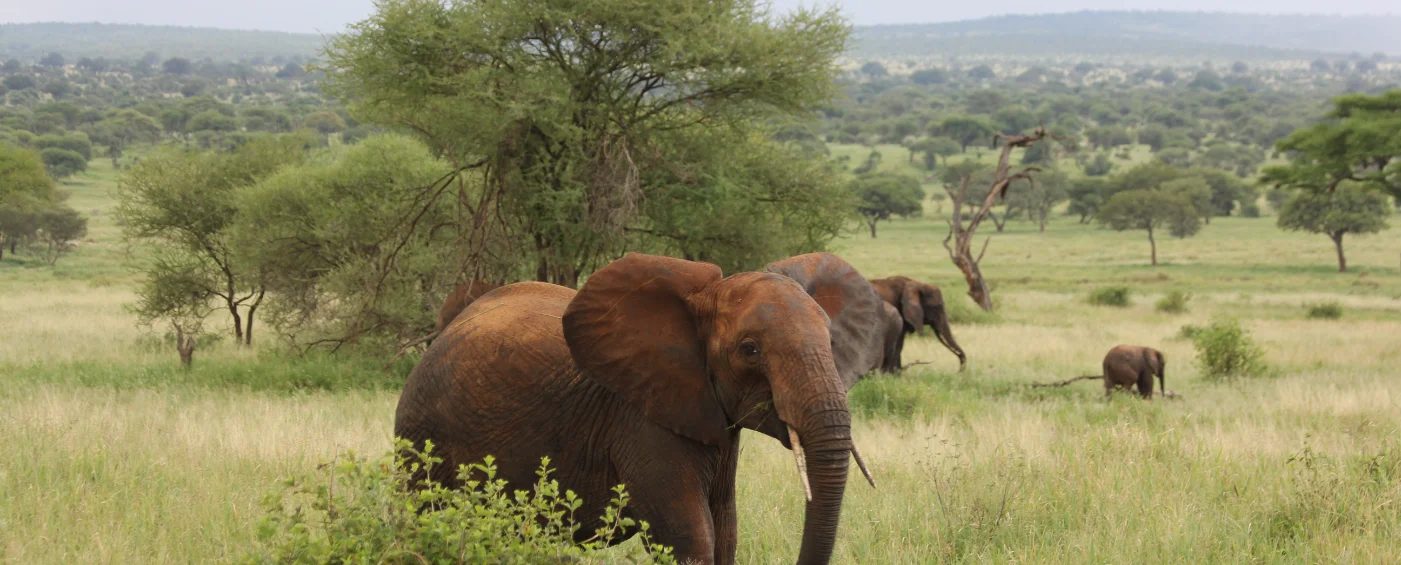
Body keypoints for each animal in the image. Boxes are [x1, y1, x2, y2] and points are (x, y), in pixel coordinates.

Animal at [395, 253, 874, 565]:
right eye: (750, 350)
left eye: (831, 340)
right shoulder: (641, 422)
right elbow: (689, 539)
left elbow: (726, 534)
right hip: (421, 436)